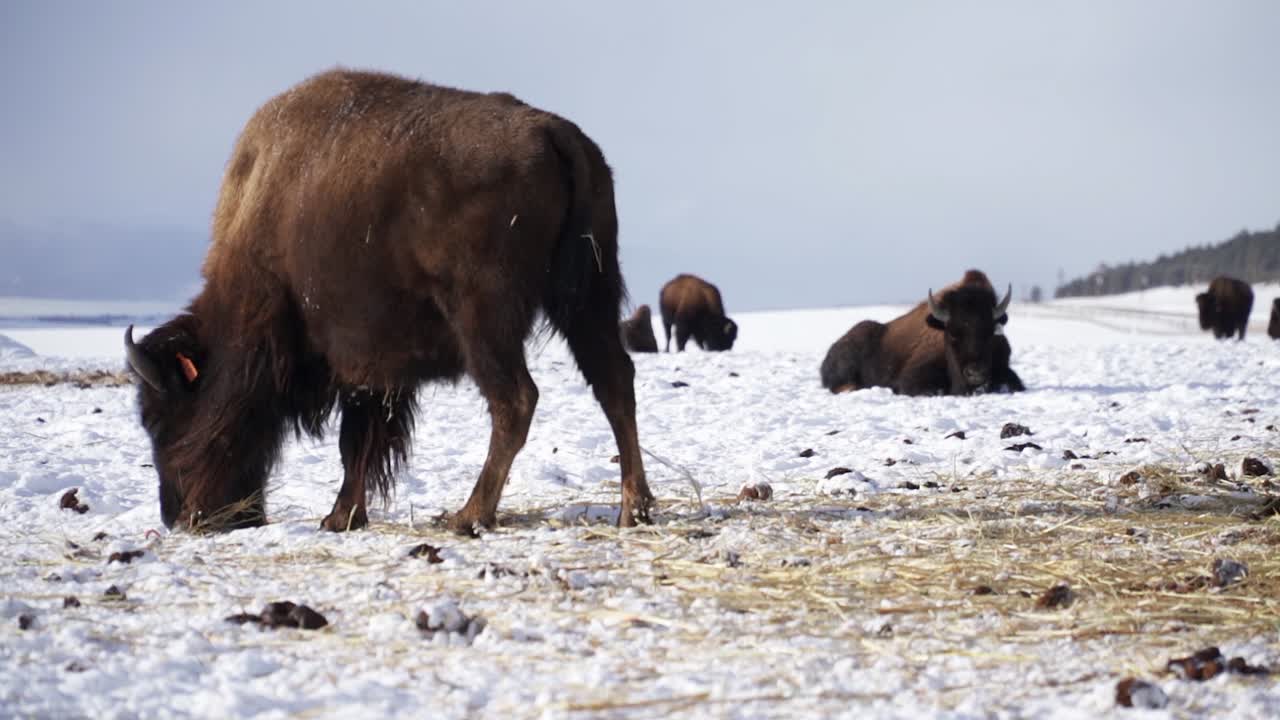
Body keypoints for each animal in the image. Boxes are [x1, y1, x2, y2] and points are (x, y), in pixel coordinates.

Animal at [124, 69, 654, 534]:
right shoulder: (378, 374)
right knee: (614, 383)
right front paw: (344, 516)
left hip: (485, 320)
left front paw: (338, 517)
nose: (178, 518)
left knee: (515, 401)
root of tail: (553, 131)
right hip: (588, 298)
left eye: (160, 417)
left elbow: (354, 442)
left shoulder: (357, 359)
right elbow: (363, 441)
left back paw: (469, 516)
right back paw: (635, 509)